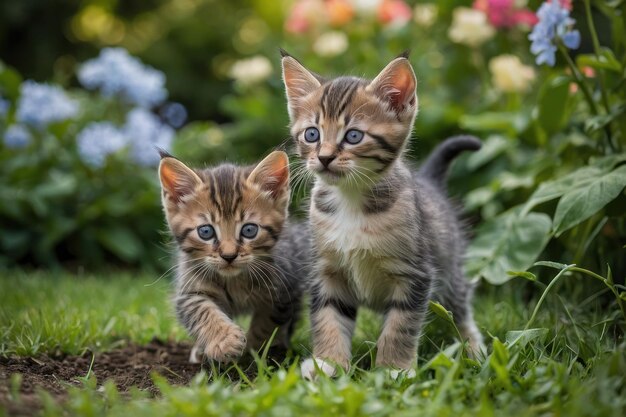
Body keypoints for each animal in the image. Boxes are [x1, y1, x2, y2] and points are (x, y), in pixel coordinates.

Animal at [158, 151, 308, 362]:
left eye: (249, 230)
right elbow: (202, 311)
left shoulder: (284, 289)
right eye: (205, 232)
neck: (234, 280)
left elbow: (268, 323)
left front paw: (253, 351)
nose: (229, 256)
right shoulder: (190, 289)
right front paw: (225, 341)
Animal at [280, 51, 482, 376]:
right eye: (312, 134)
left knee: (460, 304)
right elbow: (328, 317)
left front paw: (393, 370)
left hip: (448, 271)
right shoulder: (327, 270)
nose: (324, 157)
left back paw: (472, 348)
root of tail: (429, 181)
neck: (350, 200)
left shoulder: (416, 273)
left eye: (353, 136)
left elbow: (400, 325)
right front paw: (328, 364)